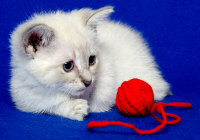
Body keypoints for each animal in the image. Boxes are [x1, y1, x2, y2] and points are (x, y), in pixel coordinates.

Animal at [9, 6, 170, 120]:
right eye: (68, 66)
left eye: (91, 60)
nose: (88, 81)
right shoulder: (25, 96)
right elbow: (50, 103)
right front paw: (75, 107)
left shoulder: (107, 70)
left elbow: (102, 94)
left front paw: (92, 105)